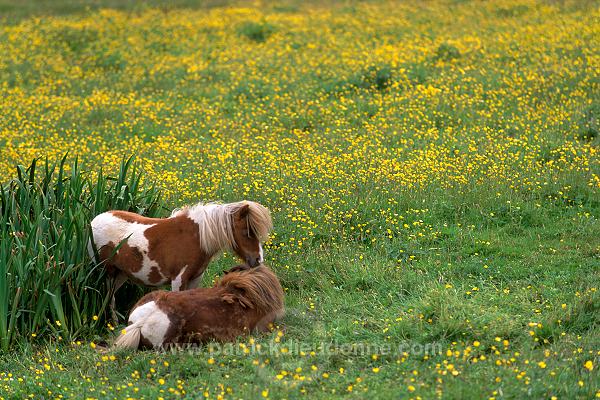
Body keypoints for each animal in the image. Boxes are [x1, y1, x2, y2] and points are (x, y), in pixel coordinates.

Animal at [88, 200, 272, 322]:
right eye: (247, 232)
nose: (258, 259)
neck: (197, 237)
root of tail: (94, 221)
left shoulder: (195, 278)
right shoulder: (178, 279)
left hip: (121, 274)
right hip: (107, 272)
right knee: (109, 298)